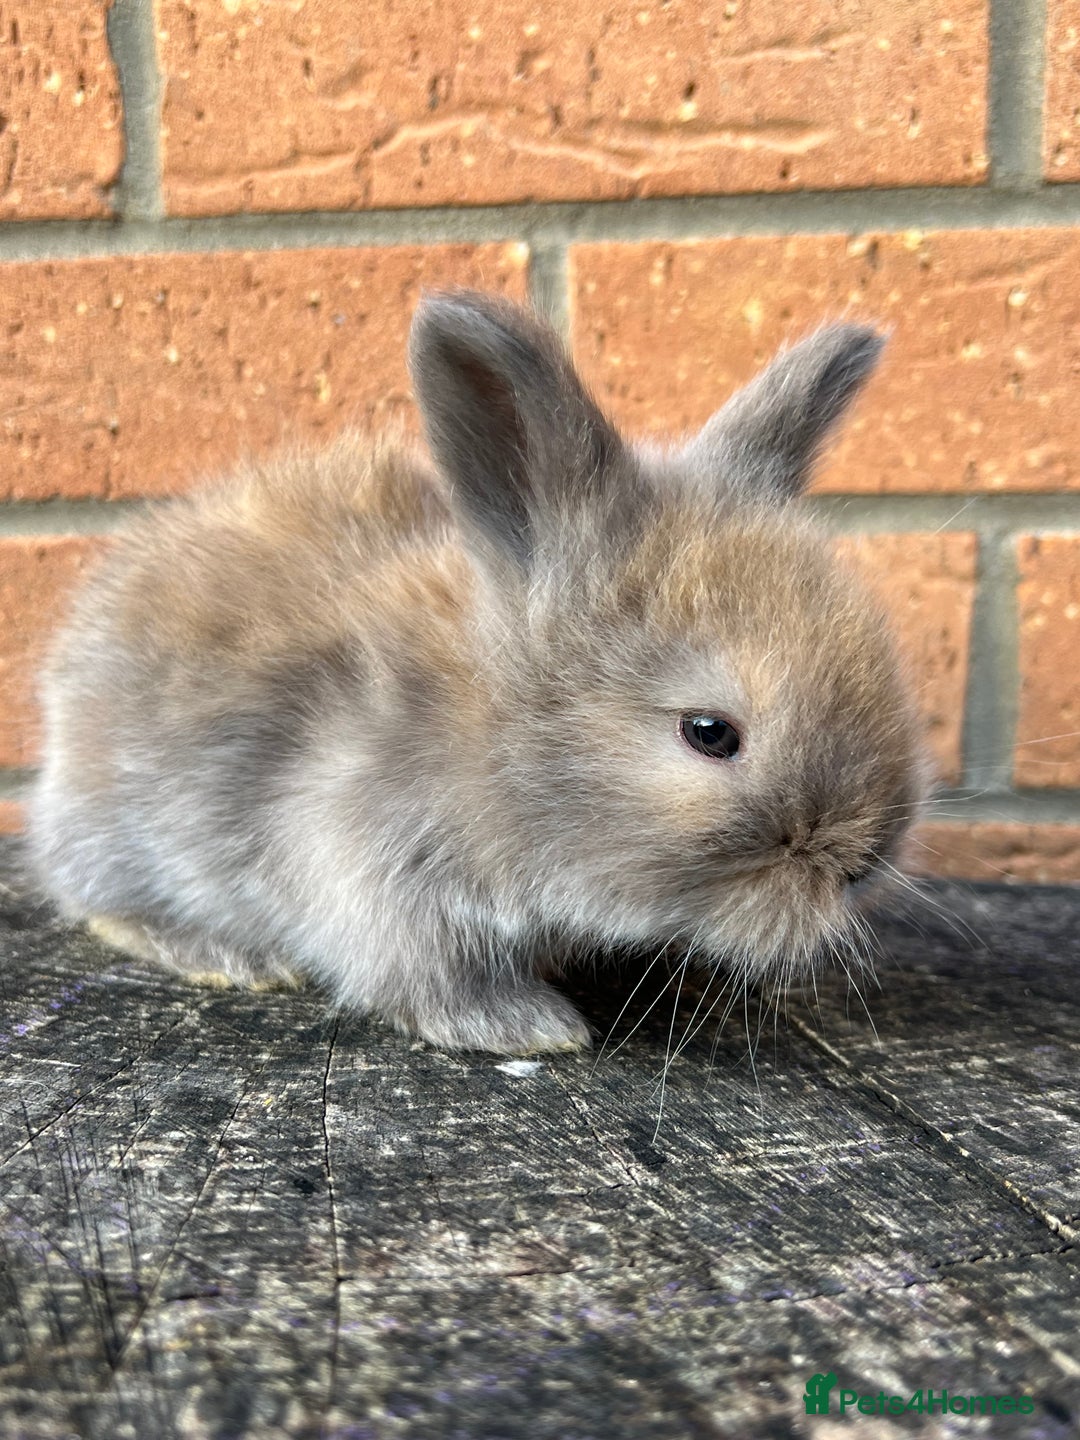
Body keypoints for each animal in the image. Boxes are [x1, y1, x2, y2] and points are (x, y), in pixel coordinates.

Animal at [26, 290, 928, 1055]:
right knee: (92, 900)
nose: (860, 867)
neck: (492, 727)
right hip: (115, 830)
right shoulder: (372, 866)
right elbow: (428, 975)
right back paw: (214, 952)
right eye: (710, 733)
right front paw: (532, 1027)